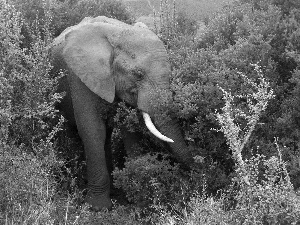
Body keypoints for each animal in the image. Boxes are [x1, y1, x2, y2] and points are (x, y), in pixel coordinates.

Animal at [50, 16, 193, 211]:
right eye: (138, 74)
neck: (117, 34)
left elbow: (129, 131)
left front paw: (138, 194)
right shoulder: (78, 77)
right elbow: (92, 130)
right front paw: (98, 208)